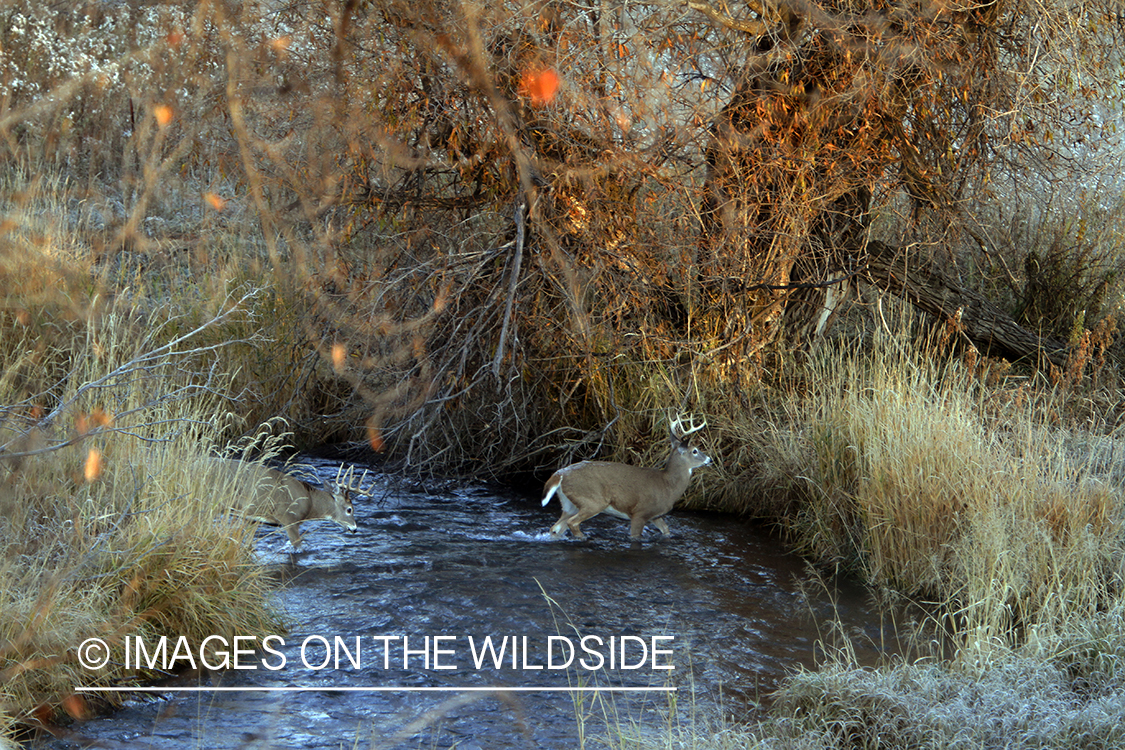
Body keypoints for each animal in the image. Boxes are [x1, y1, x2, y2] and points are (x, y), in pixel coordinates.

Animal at [212, 454, 362, 548]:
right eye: (349, 509)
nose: (354, 528)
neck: (310, 502)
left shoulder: (254, 518)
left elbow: (248, 544)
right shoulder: (289, 518)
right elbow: (298, 546)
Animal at [537, 416, 711, 539]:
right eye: (695, 451)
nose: (710, 459)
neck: (668, 485)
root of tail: (560, 473)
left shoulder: (656, 515)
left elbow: (666, 531)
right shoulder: (640, 512)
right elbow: (635, 536)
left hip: (569, 503)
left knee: (556, 528)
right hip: (592, 500)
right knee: (571, 523)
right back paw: (584, 538)